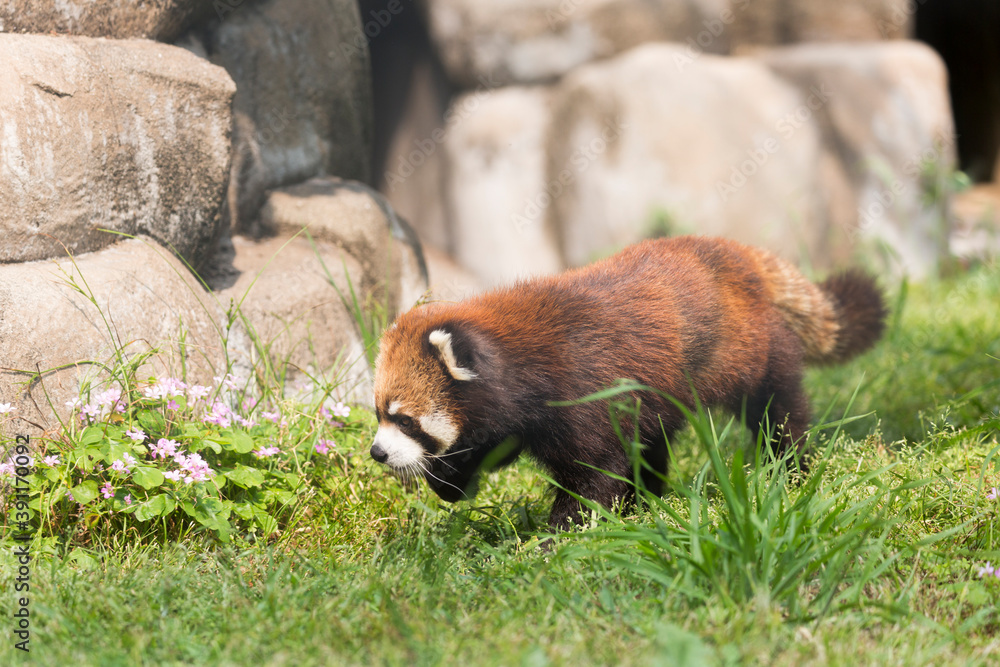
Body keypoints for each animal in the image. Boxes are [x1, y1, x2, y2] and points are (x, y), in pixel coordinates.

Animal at [372, 237, 888, 528]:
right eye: (378, 414)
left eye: (405, 419)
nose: (377, 452)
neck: (524, 356)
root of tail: (737, 252)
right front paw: (447, 479)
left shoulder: (584, 394)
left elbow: (597, 470)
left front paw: (560, 534)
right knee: (654, 437)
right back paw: (647, 498)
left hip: (754, 352)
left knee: (777, 411)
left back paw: (790, 467)